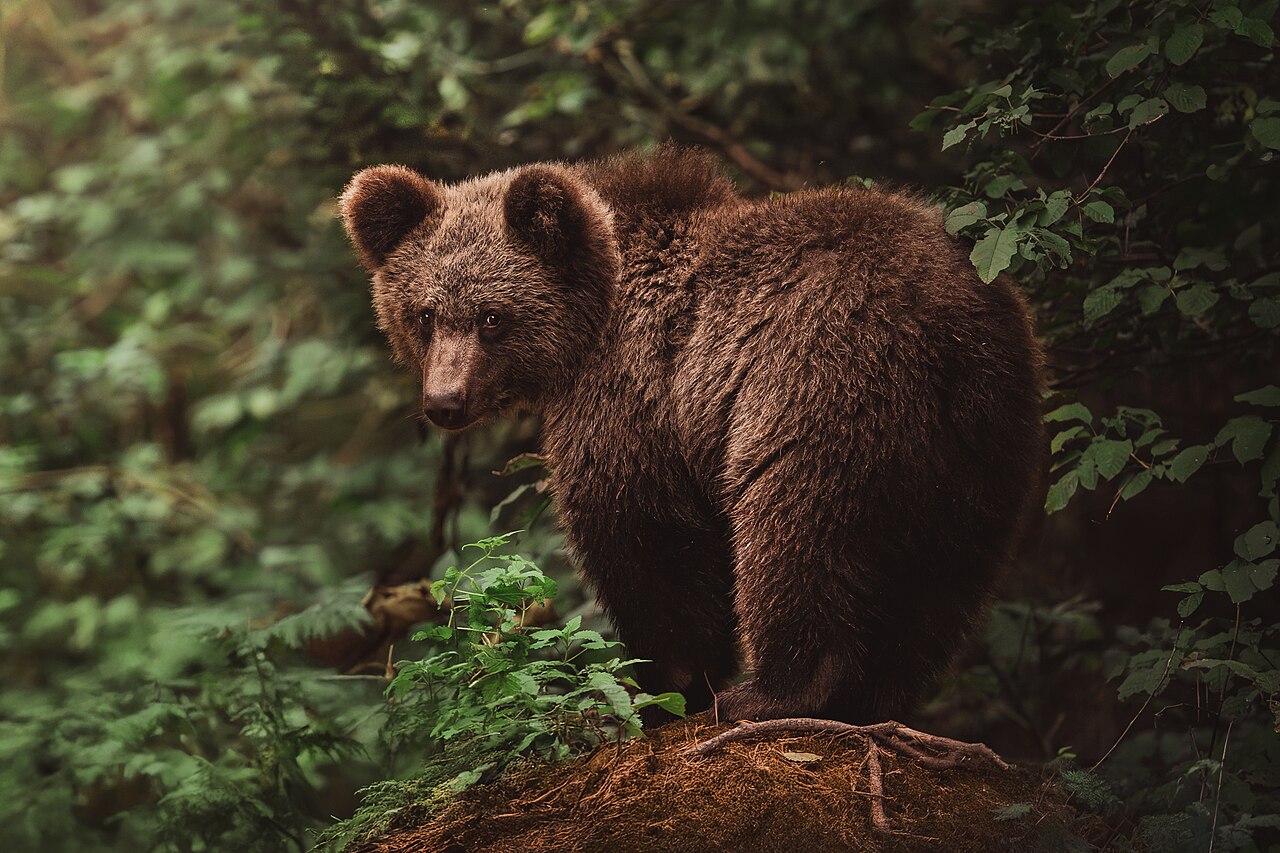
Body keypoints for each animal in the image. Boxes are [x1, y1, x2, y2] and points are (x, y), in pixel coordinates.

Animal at [339, 147, 1045, 724]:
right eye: (425, 314)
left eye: (491, 317)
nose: (445, 402)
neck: (589, 326)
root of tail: (941, 318)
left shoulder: (635, 397)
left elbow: (645, 537)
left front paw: (659, 686)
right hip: (980, 435)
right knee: (941, 578)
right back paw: (875, 701)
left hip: (817, 382)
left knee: (797, 533)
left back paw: (770, 693)